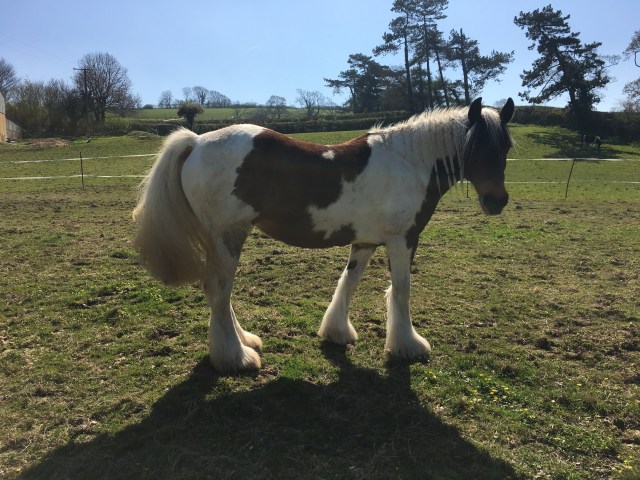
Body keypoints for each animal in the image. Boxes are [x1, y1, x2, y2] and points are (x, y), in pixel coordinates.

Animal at [133, 97, 515, 373]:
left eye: (506, 148)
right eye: (474, 148)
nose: (497, 201)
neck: (410, 162)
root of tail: (196, 141)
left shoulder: (365, 242)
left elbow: (349, 283)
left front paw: (337, 332)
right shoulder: (402, 240)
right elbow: (401, 292)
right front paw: (408, 345)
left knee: (220, 295)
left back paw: (245, 342)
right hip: (227, 237)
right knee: (219, 291)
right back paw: (236, 357)